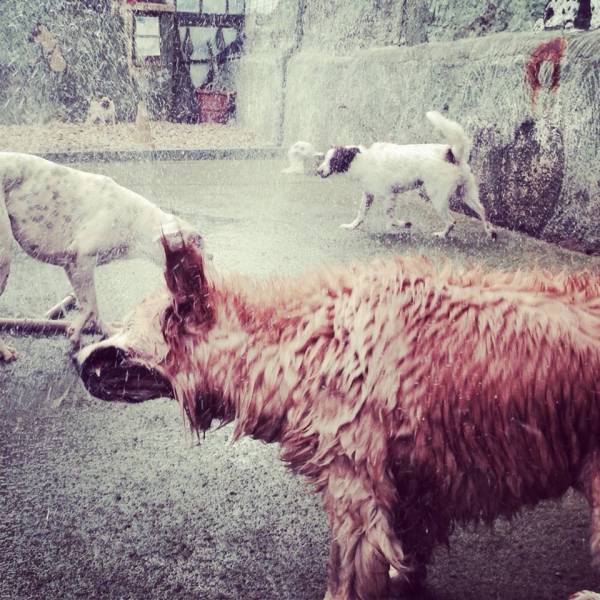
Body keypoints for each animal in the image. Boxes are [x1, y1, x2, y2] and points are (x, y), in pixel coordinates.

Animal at [0, 152, 204, 364]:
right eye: (198, 244)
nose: (211, 259)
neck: (138, 221)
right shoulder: (83, 260)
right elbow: (90, 307)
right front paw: (75, 332)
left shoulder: (73, 267)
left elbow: (92, 307)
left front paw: (101, 332)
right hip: (4, 258)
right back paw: (6, 352)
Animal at [77, 244, 600, 600]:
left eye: (124, 330)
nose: (77, 360)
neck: (293, 341)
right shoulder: (410, 490)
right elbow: (410, 549)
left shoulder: (355, 491)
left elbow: (344, 574)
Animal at [316, 111, 494, 238]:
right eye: (324, 158)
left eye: (333, 160)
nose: (317, 171)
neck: (362, 160)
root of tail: (451, 154)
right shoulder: (369, 194)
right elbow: (361, 213)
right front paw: (352, 226)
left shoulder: (389, 195)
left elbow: (389, 217)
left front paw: (399, 227)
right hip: (466, 194)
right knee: (482, 210)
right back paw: (489, 232)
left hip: (437, 197)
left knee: (451, 221)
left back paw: (442, 235)